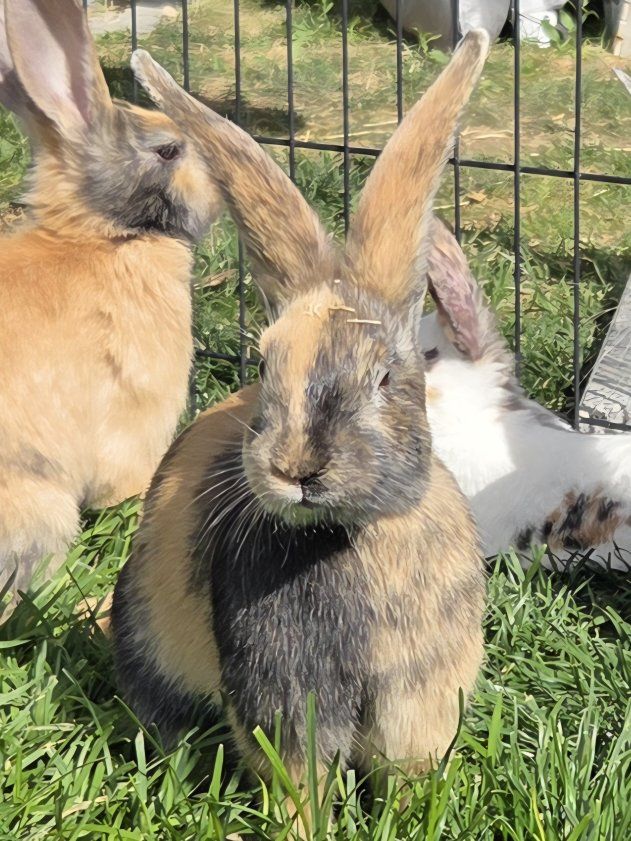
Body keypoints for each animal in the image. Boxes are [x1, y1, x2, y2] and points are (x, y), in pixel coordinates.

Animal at [111, 31, 490, 825]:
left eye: (386, 378)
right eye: (264, 362)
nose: (295, 467)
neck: (346, 536)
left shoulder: (418, 699)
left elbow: (405, 772)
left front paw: (408, 819)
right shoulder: (283, 702)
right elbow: (296, 779)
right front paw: (303, 828)